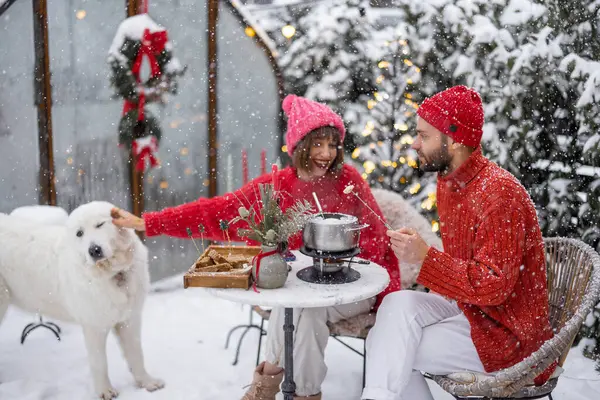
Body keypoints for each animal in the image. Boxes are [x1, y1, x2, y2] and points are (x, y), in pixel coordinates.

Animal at [0, 202, 164, 398]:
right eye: (79, 233)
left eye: (100, 225)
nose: (94, 250)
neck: (113, 274)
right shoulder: (94, 326)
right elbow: (100, 362)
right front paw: (105, 391)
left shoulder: (129, 320)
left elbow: (136, 354)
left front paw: (147, 382)